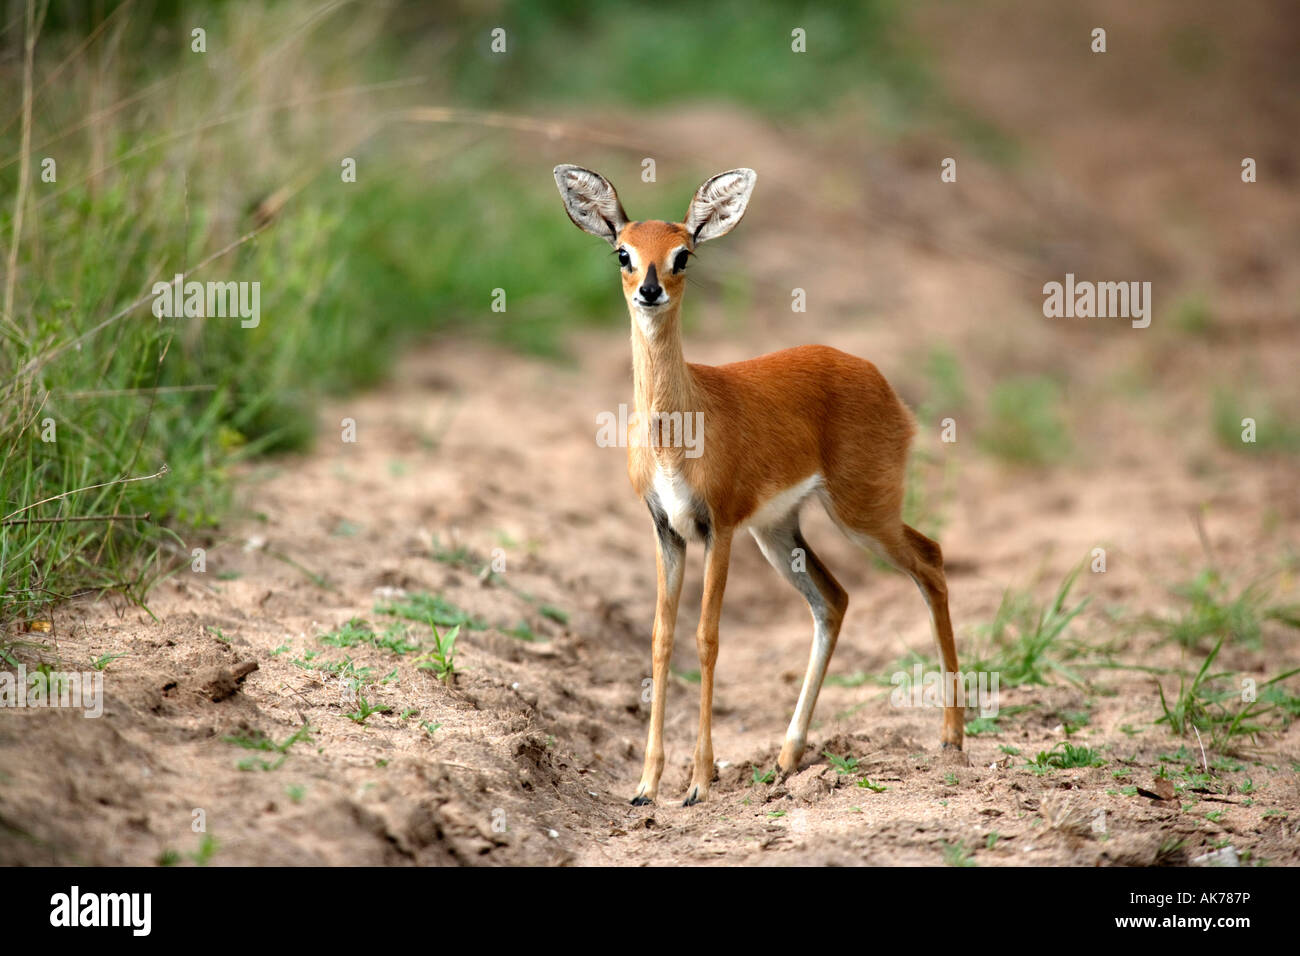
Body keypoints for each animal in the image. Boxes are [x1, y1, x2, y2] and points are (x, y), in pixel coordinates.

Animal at [553, 164, 961, 806]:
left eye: (683, 254)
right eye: (624, 252)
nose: (650, 290)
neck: (679, 429)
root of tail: (880, 379)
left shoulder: (718, 528)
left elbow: (707, 637)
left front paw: (698, 782)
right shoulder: (667, 530)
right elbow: (661, 638)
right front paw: (646, 785)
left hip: (863, 513)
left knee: (932, 560)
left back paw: (951, 739)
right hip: (779, 531)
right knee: (835, 600)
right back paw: (787, 758)